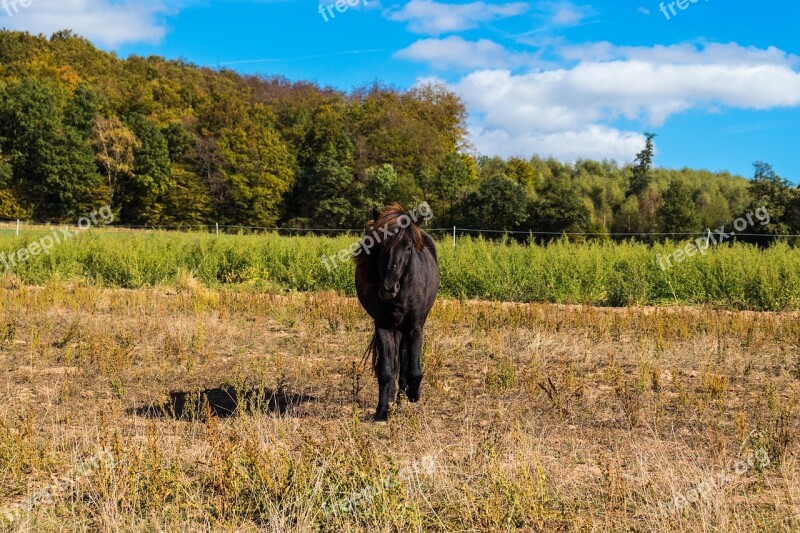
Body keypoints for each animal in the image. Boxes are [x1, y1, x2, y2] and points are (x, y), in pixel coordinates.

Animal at [356, 203, 440, 420]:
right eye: (380, 245)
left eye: (409, 247)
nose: (388, 288)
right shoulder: (383, 326)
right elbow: (386, 370)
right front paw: (382, 411)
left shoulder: (415, 327)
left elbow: (415, 369)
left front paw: (413, 394)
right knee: (395, 357)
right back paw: (394, 395)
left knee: (403, 355)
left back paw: (403, 395)